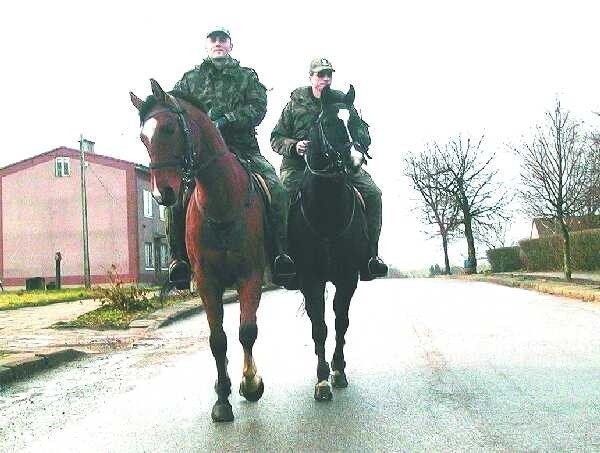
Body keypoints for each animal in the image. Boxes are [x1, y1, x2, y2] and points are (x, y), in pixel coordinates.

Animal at [131, 79, 268, 422]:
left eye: (169, 128)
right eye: (143, 137)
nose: (162, 193)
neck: (221, 201)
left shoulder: (251, 276)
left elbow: (247, 331)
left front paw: (250, 383)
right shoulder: (207, 282)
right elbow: (217, 340)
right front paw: (222, 399)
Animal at [290, 85, 370, 400]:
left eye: (358, 123)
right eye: (328, 123)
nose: (355, 161)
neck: (326, 212)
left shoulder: (348, 278)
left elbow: (341, 323)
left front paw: (338, 370)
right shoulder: (310, 279)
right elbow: (320, 327)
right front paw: (322, 380)